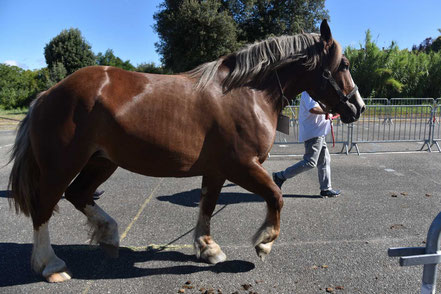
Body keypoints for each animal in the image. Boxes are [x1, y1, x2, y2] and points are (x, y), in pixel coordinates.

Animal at [8, 20, 364, 282]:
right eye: (344, 64)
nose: (358, 107)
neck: (247, 94)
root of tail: (48, 94)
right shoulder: (241, 166)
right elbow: (275, 196)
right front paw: (264, 242)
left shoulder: (217, 170)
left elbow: (207, 205)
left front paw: (207, 248)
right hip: (62, 165)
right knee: (44, 207)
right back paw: (51, 265)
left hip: (102, 161)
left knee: (78, 195)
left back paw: (108, 234)